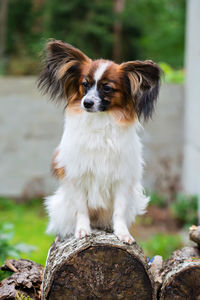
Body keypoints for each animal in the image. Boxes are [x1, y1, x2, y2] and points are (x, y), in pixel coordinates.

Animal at [38, 40, 161, 244]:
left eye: (107, 88)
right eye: (85, 84)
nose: (86, 103)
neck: (100, 121)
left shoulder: (122, 179)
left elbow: (119, 211)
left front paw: (122, 233)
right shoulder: (77, 176)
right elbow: (81, 209)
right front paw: (82, 230)